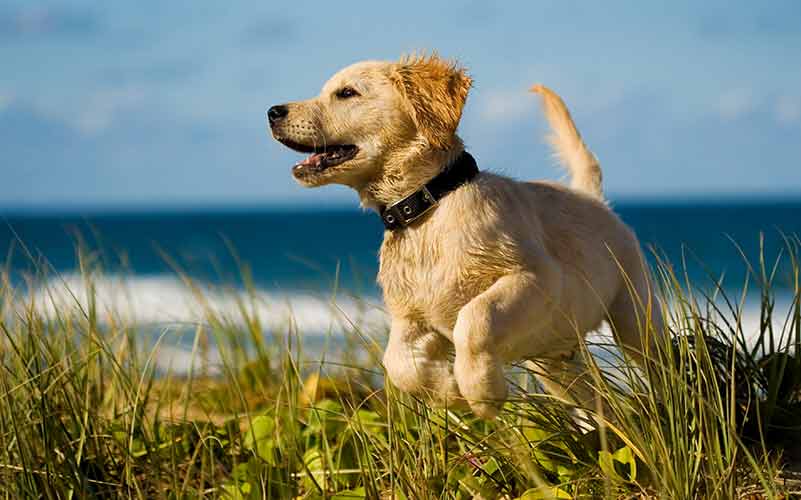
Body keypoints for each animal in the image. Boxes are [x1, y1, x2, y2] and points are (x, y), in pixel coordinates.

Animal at [268, 54, 664, 418]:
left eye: (346, 93)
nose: (272, 112)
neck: (427, 206)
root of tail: (593, 199)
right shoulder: (411, 316)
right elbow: (397, 362)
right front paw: (447, 391)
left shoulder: (537, 278)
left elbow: (475, 318)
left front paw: (482, 391)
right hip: (554, 363)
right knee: (600, 405)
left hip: (634, 317)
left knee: (660, 362)